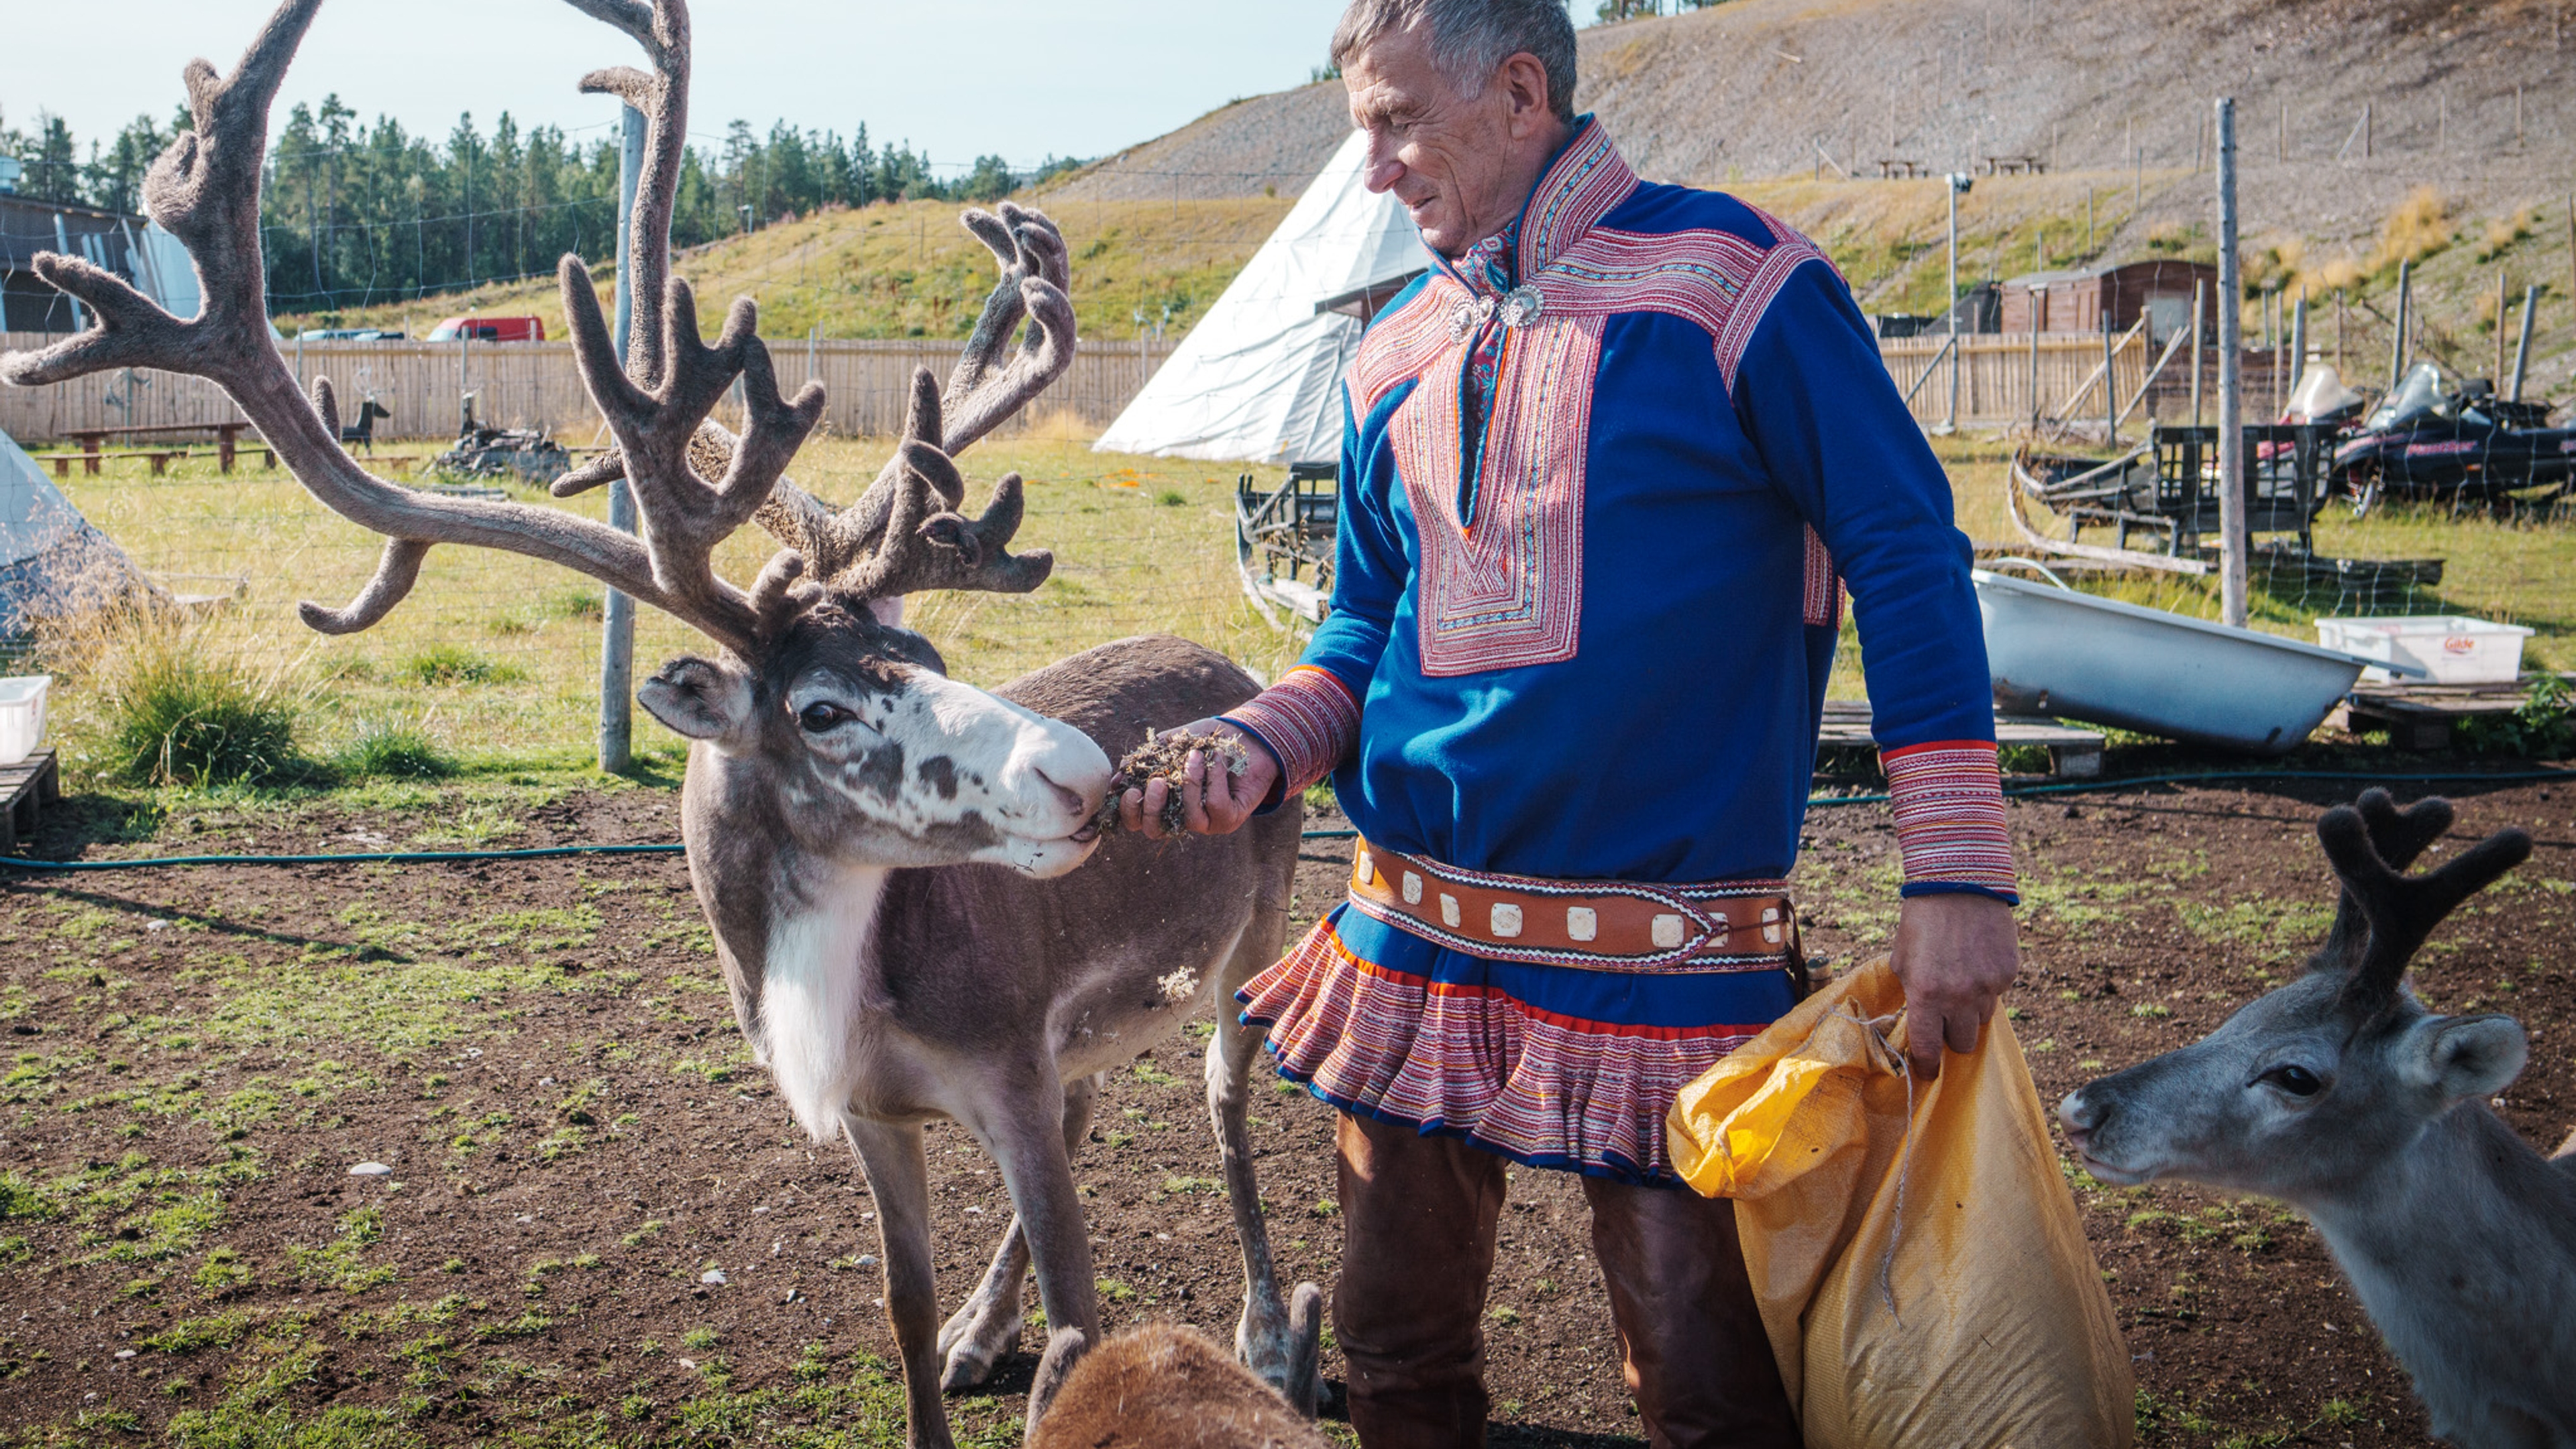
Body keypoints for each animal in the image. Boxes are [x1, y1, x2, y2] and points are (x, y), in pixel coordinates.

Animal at [0, 3, 1323, 1445]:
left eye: (931, 648)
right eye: (821, 706)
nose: (1084, 770)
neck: (839, 1007)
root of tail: (1229, 659)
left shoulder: (1008, 1071)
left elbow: (1089, 1330)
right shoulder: (886, 1112)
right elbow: (900, 1313)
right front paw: (951, 1336)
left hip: (1251, 942)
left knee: (1225, 1104)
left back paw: (1267, 1325)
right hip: (1091, 1028)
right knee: (1102, 1108)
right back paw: (989, 1328)